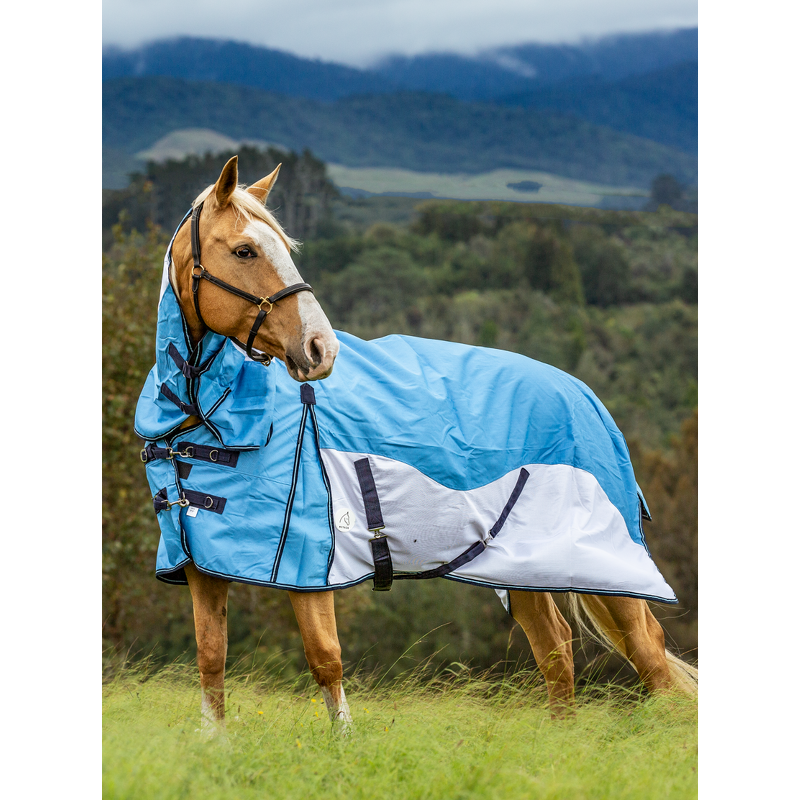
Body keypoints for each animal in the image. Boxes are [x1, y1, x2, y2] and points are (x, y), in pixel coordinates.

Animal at [136, 155, 697, 732]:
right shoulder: (201, 567)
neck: (207, 418)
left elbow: (325, 659)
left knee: (650, 660)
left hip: (606, 566)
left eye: (285, 248)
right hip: (527, 566)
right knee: (557, 653)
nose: (320, 349)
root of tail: (583, 393)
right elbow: (211, 659)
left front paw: (344, 745)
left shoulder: (308, 565)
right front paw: (214, 743)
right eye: (244, 250)